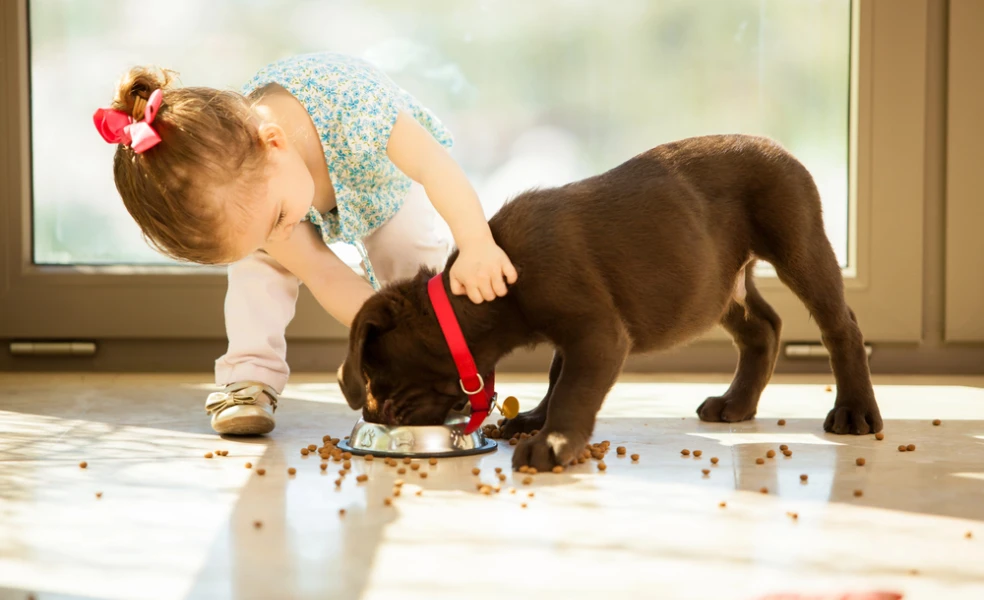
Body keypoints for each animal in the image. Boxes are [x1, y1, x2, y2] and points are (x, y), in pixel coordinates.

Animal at [340, 134, 884, 472]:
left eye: (376, 377)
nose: (373, 414)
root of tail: (777, 145)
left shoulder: (596, 331)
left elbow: (573, 388)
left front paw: (552, 443)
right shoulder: (577, 332)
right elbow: (557, 376)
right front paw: (535, 421)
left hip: (798, 242)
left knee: (841, 326)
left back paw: (854, 411)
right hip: (715, 284)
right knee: (763, 327)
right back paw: (737, 403)